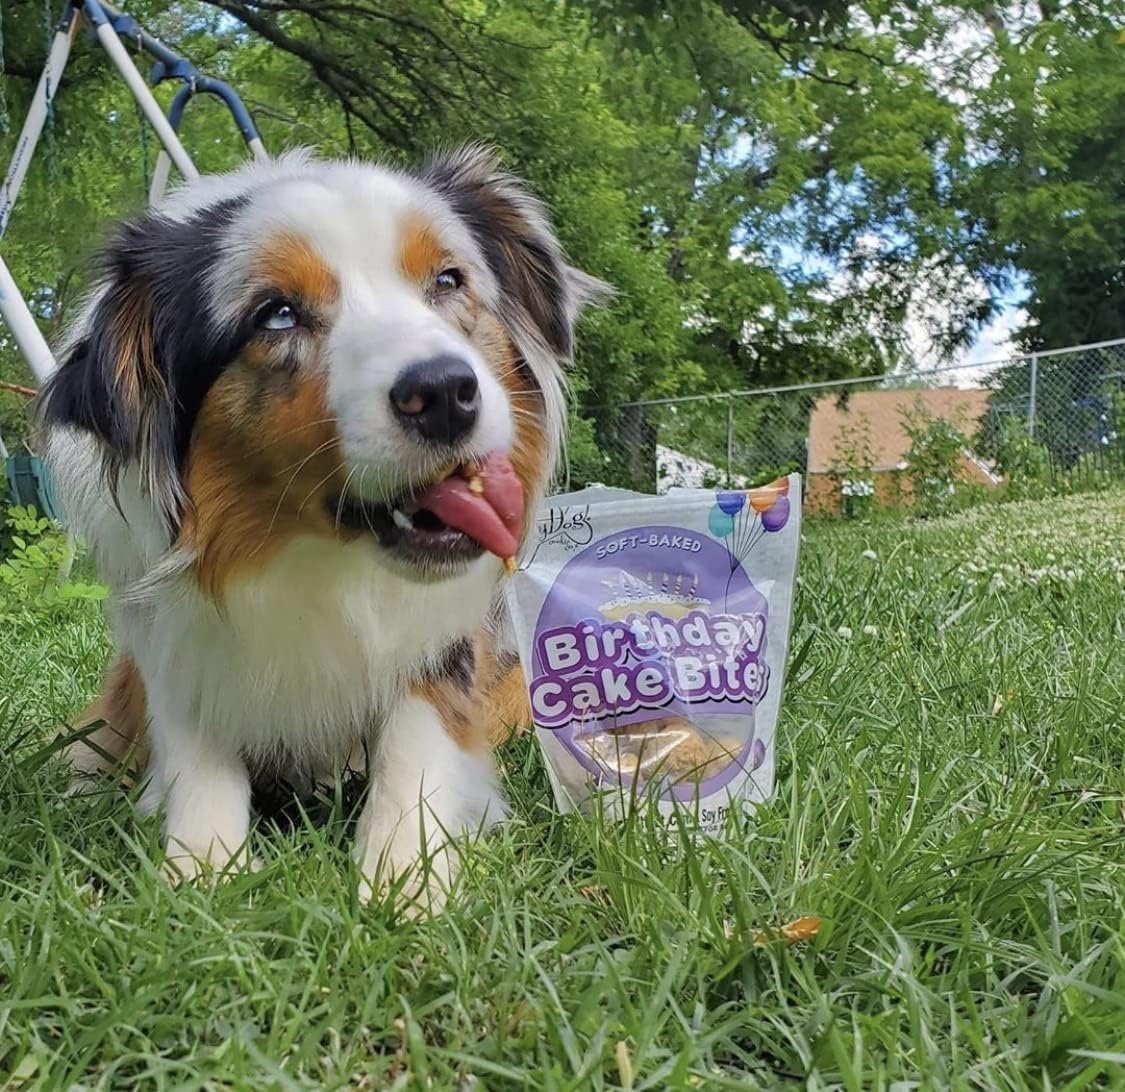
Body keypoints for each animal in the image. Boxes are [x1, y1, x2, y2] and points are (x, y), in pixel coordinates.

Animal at [41, 149, 607, 908]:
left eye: (448, 280)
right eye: (276, 314)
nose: (445, 394)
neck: (320, 560)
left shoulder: (447, 642)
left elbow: (417, 738)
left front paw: (403, 881)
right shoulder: (175, 636)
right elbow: (197, 749)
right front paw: (201, 875)